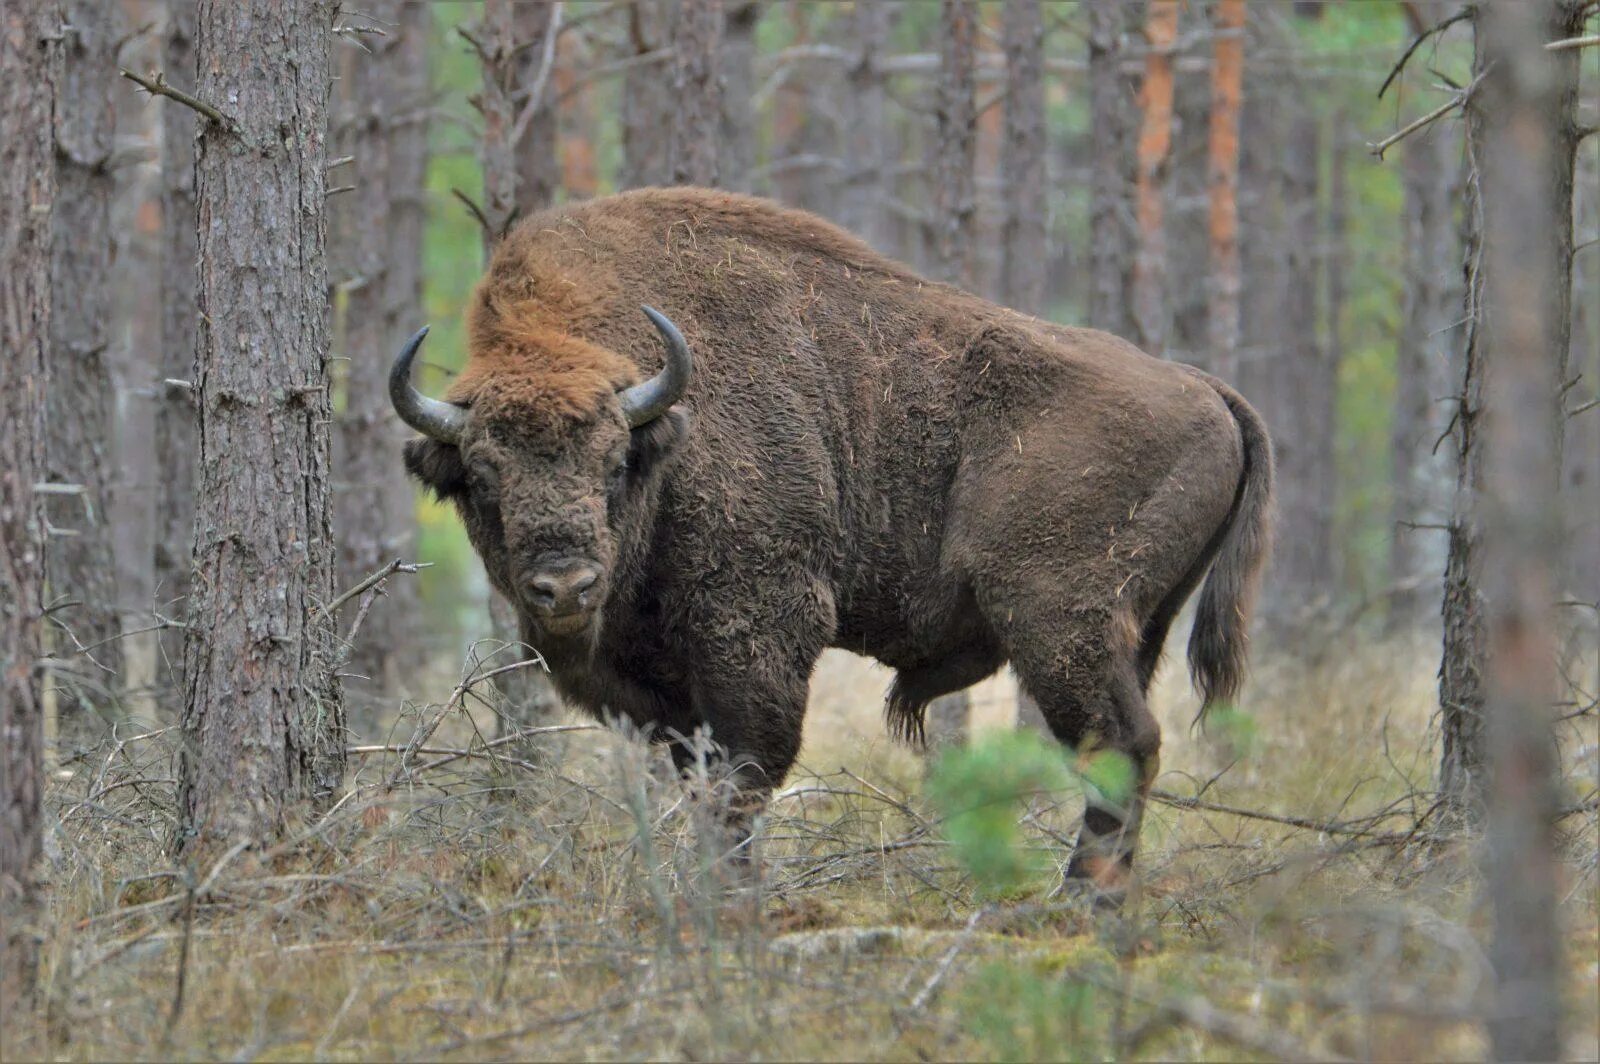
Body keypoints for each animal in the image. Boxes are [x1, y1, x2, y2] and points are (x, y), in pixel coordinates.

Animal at [393, 186, 1267, 889]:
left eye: (614, 463)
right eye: (482, 475)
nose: (565, 588)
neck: (668, 433)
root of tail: (1206, 388)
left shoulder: (758, 632)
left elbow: (742, 779)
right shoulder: (662, 686)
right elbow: (700, 780)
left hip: (1059, 625)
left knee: (1121, 745)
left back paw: (1077, 903)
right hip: (1137, 629)